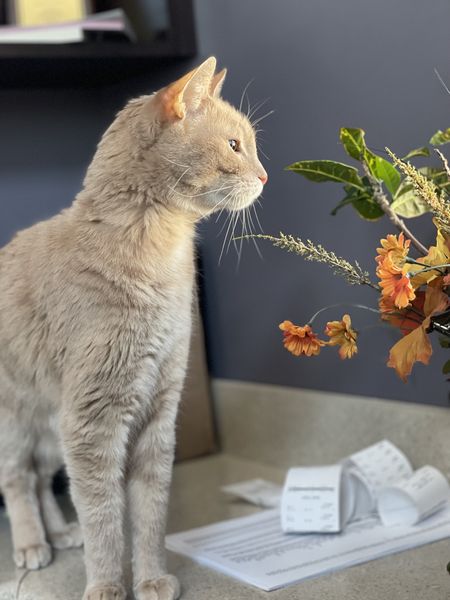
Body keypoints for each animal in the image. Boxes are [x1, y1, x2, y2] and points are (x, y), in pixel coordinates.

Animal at [0, 56, 268, 600]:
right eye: (235, 145)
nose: (265, 175)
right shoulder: (90, 423)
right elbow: (104, 517)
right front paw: (106, 585)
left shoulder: (157, 414)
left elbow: (149, 514)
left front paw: (149, 578)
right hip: (15, 420)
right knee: (17, 480)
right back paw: (32, 542)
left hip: (48, 426)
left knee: (39, 478)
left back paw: (59, 531)